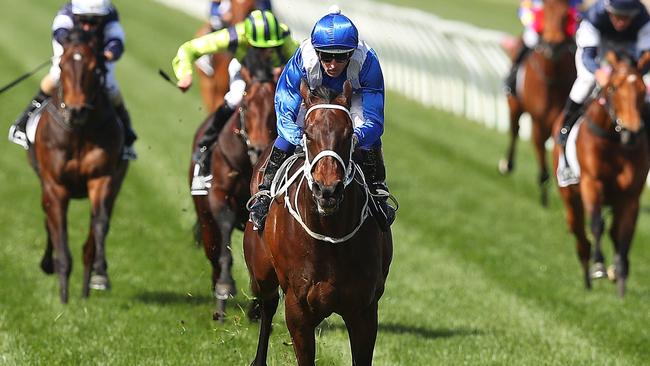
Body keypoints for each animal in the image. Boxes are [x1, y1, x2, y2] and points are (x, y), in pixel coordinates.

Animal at [29, 27, 128, 304]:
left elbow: (100, 224)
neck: (79, 132)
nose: (76, 111)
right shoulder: (55, 186)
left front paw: (100, 273)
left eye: (95, 69)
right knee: (48, 220)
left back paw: (88, 284)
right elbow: (58, 231)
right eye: (62, 65)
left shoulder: (102, 179)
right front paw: (63, 296)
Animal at [190, 48, 276, 320]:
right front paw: (225, 288)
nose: (258, 148)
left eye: (274, 108)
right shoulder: (219, 195)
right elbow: (225, 242)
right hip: (205, 218)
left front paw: (258, 306)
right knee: (213, 250)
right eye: (246, 106)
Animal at [243, 80, 392, 364]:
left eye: (348, 135)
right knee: (267, 306)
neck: (331, 237)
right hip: (262, 273)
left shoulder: (365, 312)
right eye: (308, 134)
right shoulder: (298, 310)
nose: (327, 190)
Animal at [498, 0, 576, 206]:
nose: (553, 46)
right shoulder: (538, 123)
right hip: (514, 104)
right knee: (514, 130)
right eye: (545, 12)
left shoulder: (558, 121)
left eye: (566, 15)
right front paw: (544, 196)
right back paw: (506, 164)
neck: (552, 78)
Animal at [552, 50, 648, 298]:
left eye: (643, 90)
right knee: (580, 233)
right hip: (570, 197)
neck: (614, 140)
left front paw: (621, 274)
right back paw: (587, 273)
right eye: (613, 88)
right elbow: (596, 224)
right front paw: (598, 266)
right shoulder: (591, 182)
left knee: (613, 231)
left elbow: (624, 233)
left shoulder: (630, 196)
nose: (632, 132)